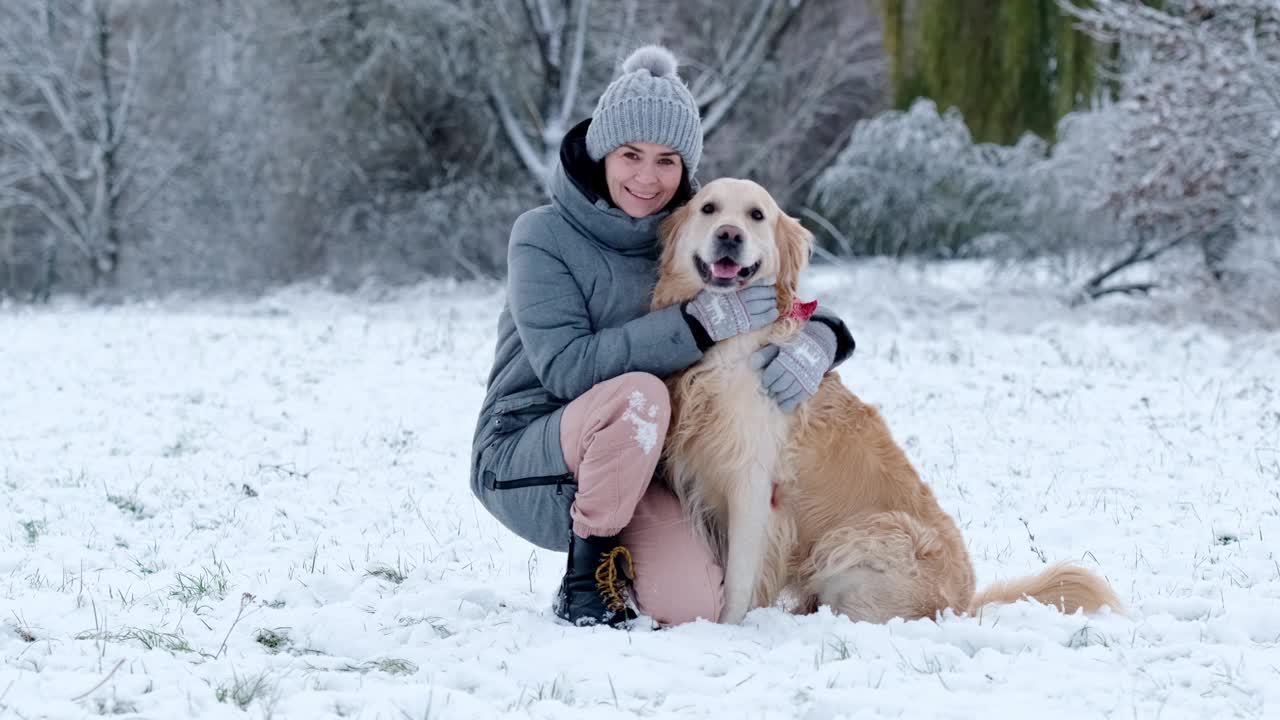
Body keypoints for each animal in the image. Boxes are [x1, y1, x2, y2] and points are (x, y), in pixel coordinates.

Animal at [655, 178, 1116, 622]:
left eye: (756, 215)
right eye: (709, 208)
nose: (729, 235)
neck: (731, 345)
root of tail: (963, 606)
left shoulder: (753, 486)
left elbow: (737, 581)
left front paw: (726, 628)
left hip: (862, 536)